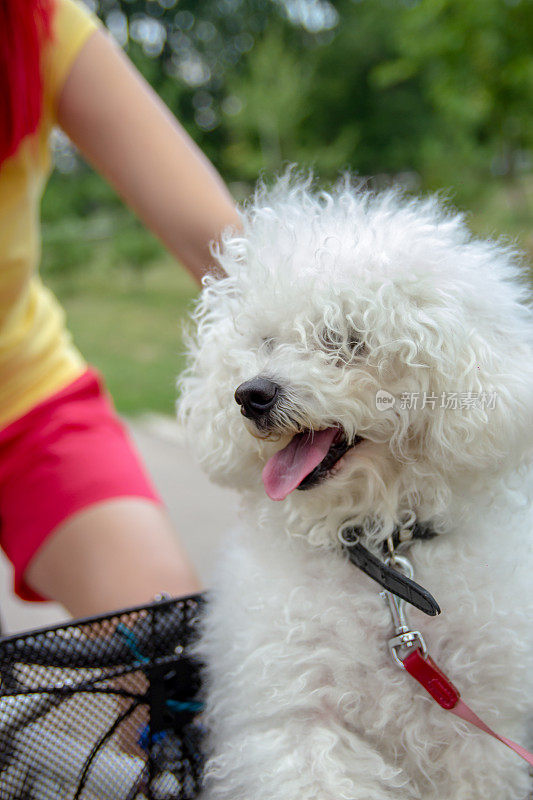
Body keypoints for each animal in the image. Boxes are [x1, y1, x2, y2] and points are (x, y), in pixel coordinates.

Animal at [179, 177, 532, 800]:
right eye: (265, 341)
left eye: (345, 340)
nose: (250, 395)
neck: (379, 548)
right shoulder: (300, 723)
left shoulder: (480, 738)